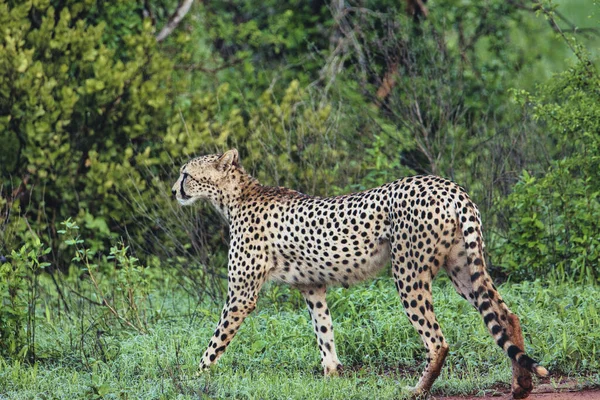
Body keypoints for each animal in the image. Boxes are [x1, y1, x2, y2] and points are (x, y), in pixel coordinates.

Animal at [171, 149, 548, 396]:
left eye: (186, 174)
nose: (174, 190)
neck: (236, 198)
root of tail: (447, 185)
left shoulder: (241, 294)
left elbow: (215, 341)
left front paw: (194, 376)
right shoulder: (313, 286)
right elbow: (324, 332)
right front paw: (332, 375)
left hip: (408, 272)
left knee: (437, 340)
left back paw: (417, 390)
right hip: (463, 267)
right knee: (505, 314)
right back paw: (521, 385)